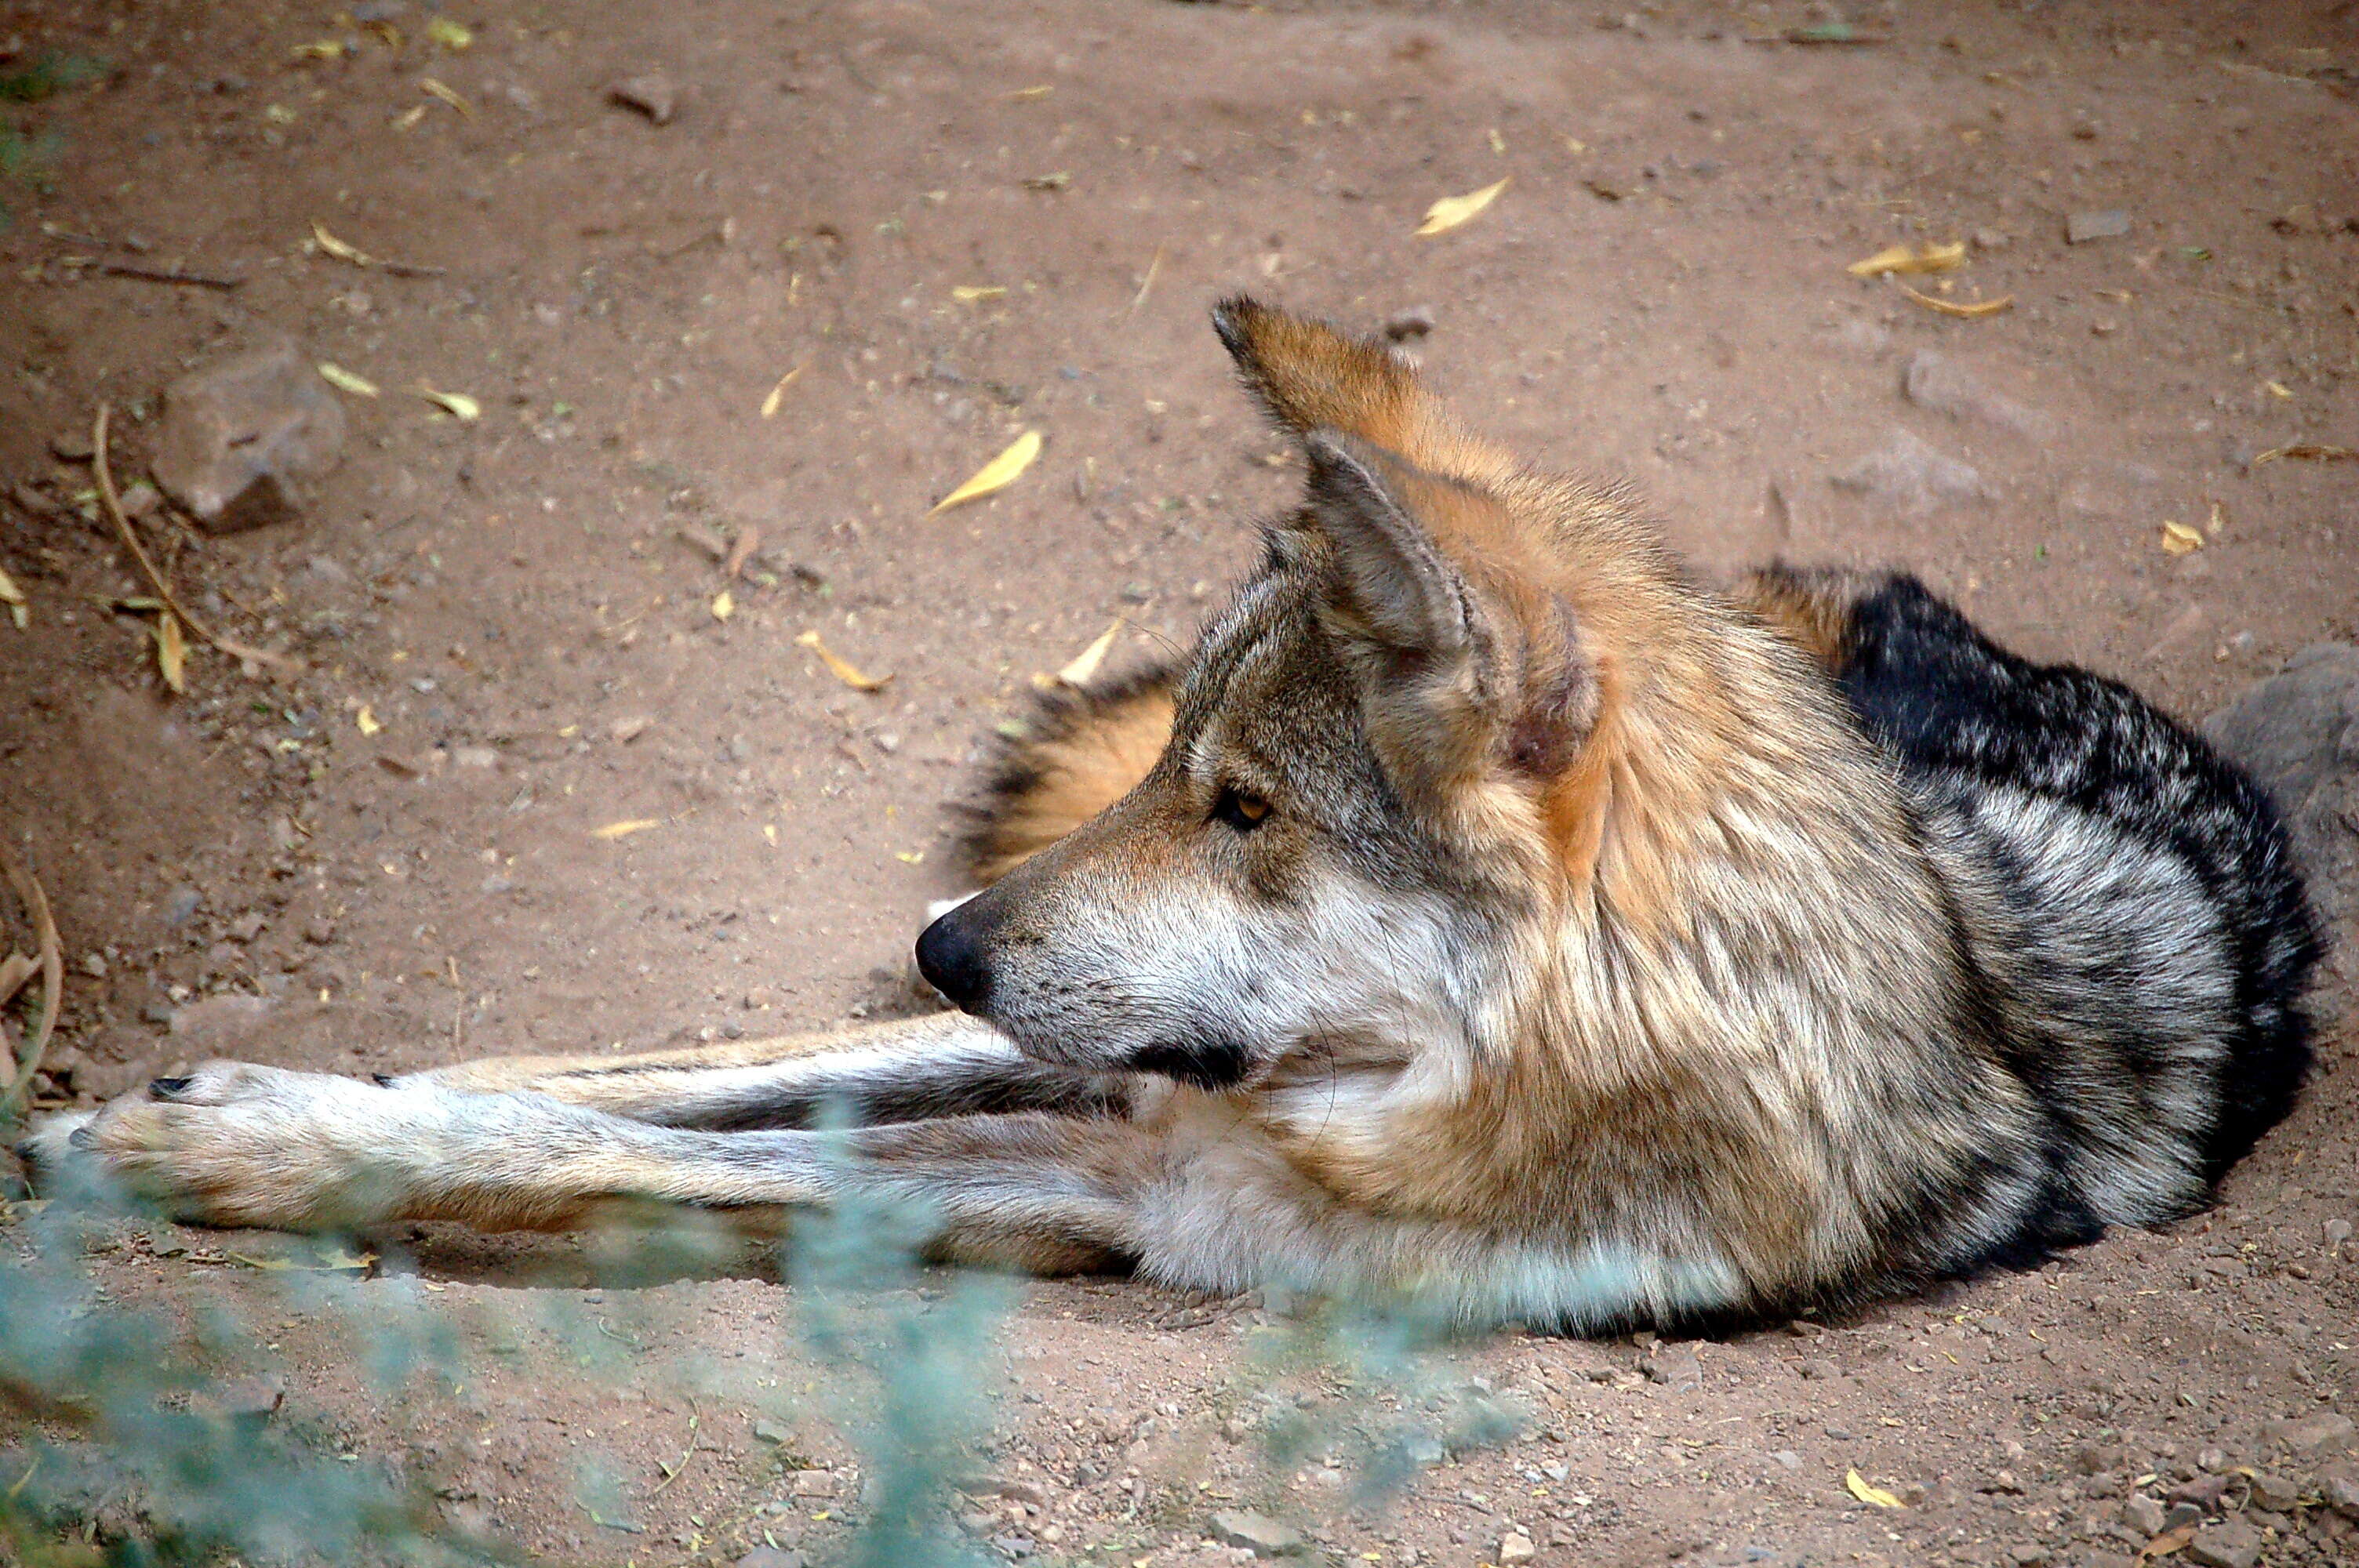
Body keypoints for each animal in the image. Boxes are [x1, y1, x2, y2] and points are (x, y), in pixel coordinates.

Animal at [9, 299, 2311, 1330]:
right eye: (1178, 774)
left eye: (1243, 807)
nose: (946, 940)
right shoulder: (1087, 1057)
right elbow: (650, 1074)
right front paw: (251, 1098)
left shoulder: (1153, 1187)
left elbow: (659, 1157)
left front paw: (227, 1149)